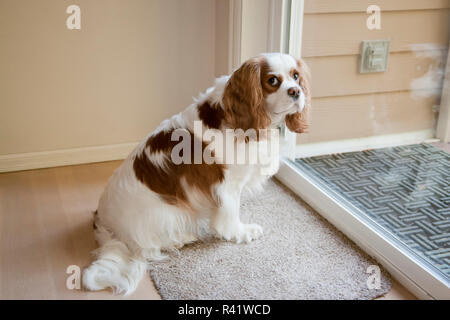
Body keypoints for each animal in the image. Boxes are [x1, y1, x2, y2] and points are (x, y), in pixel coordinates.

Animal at [82, 53, 310, 296]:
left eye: (296, 76)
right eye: (272, 81)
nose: (296, 91)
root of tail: (102, 220)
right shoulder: (227, 186)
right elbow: (230, 216)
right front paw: (241, 232)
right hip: (168, 212)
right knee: (147, 249)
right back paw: (177, 240)